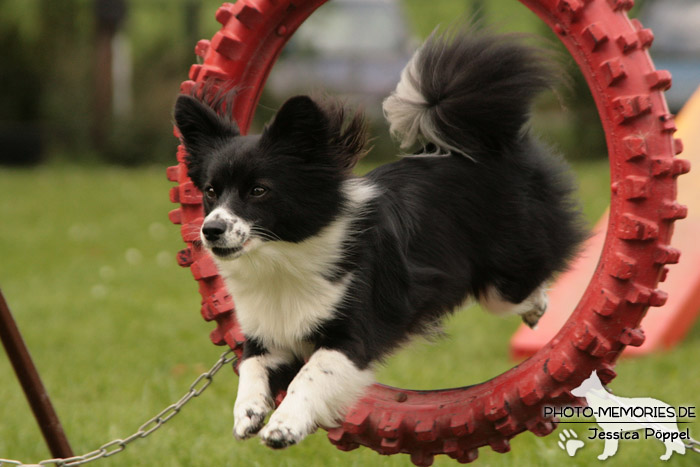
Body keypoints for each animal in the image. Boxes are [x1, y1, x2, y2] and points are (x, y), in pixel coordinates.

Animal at [174, 26, 584, 450]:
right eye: (210, 191)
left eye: (258, 191)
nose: (211, 229)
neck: (281, 259)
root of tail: (483, 145)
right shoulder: (267, 333)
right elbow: (252, 365)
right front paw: (249, 412)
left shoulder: (351, 337)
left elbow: (311, 374)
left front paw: (284, 426)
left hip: (505, 271)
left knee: (522, 284)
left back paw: (537, 308)